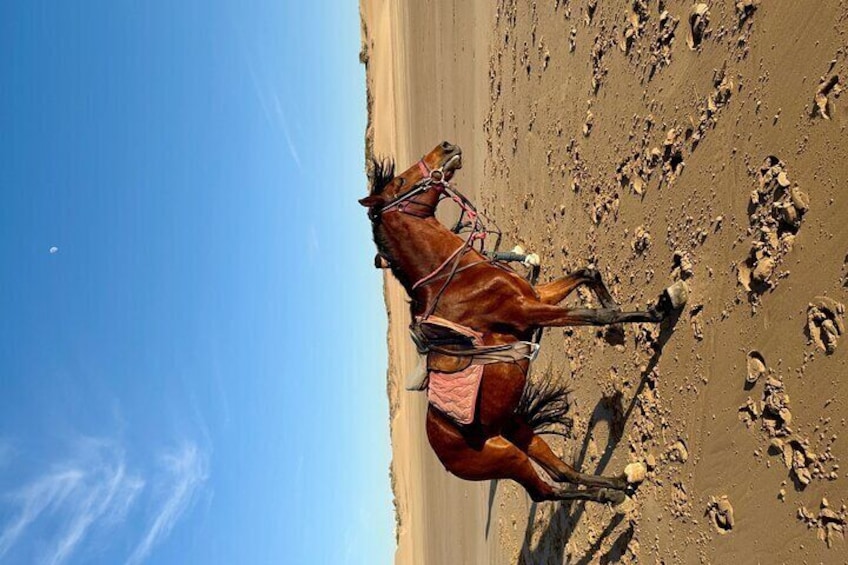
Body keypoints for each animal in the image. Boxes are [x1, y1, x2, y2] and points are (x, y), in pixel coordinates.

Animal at [360, 141, 684, 502]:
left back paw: (618, 484)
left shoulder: (536, 295)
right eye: (400, 183)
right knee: (545, 491)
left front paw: (618, 332)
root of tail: (441, 453)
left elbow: (588, 273)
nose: (445, 147)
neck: (459, 277)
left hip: (517, 428)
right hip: (507, 455)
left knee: (561, 472)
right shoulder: (526, 310)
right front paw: (659, 308)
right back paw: (611, 493)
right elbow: (594, 316)